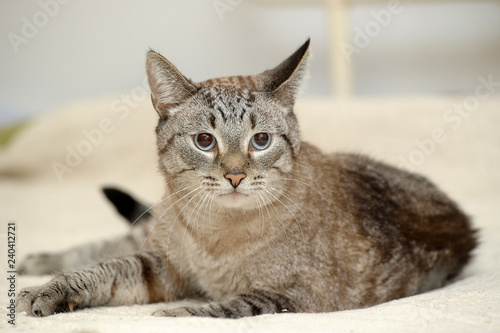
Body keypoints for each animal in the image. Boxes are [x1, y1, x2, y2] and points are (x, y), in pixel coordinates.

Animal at [16, 40, 476, 318]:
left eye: (261, 140)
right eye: (205, 141)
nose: (235, 175)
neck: (213, 234)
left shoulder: (291, 299)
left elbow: (222, 307)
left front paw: (175, 313)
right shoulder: (160, 266)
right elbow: (102, 271)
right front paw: (49, 290)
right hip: (151, 231)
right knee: (112, 243)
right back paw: (35, 264)